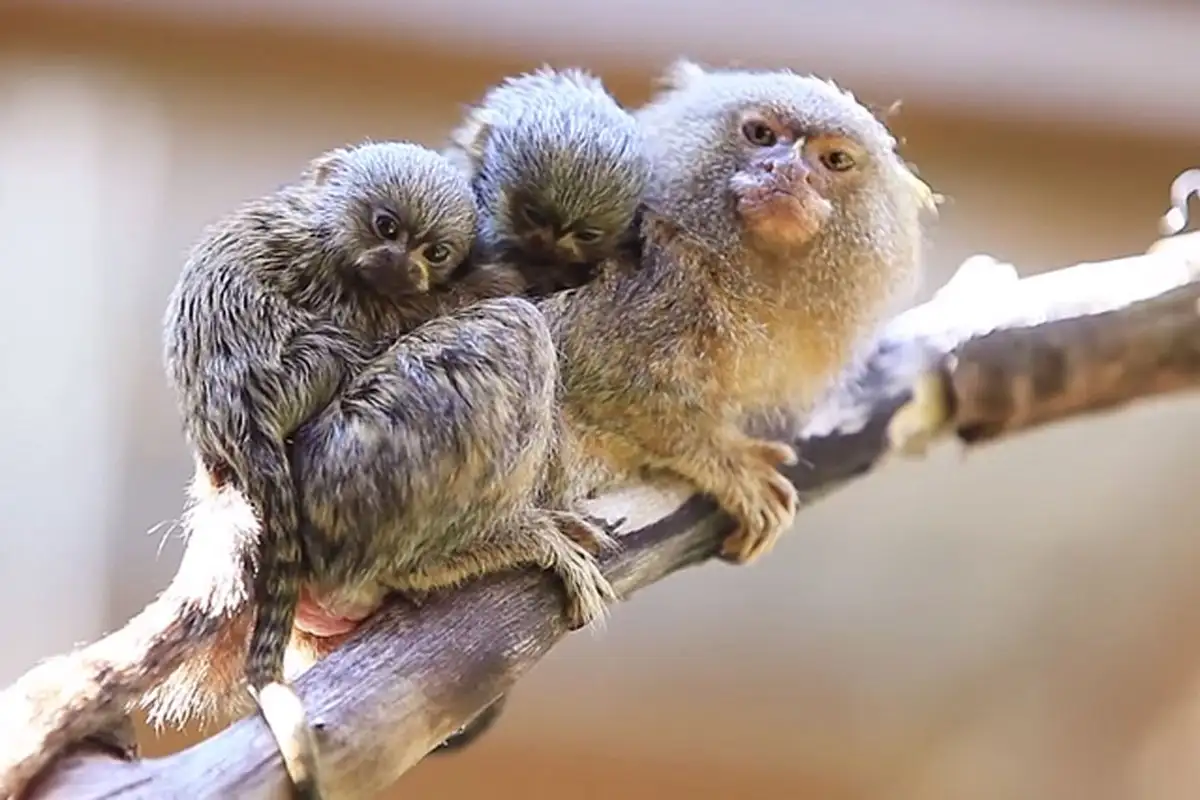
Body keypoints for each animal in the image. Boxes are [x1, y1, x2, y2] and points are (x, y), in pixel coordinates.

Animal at [0, 140, 617, 800]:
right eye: (386, 227)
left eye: (434, 251)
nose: (401, 264)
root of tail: (231, 439)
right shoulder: (339, 285)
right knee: (510, 328)